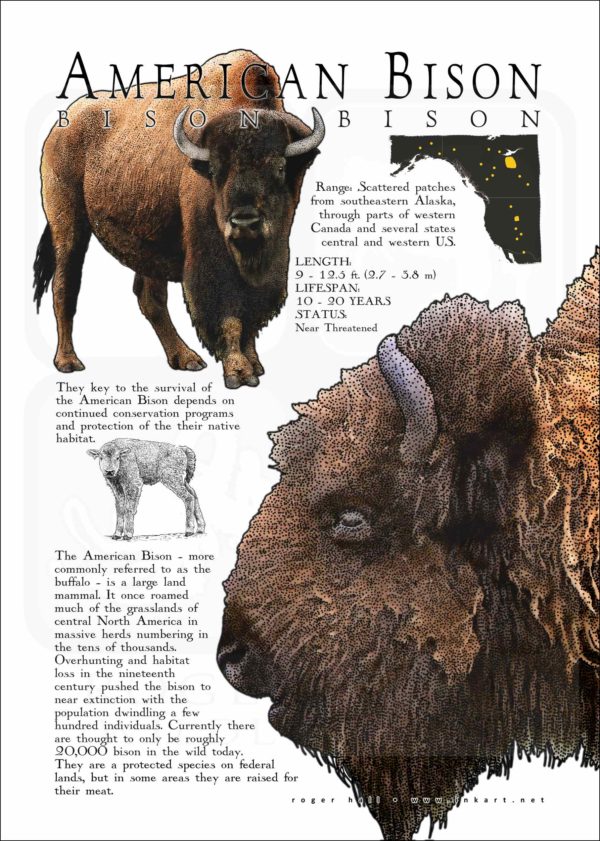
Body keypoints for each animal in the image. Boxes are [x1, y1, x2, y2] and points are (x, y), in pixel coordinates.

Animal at [33, 50, 324, 387]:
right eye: (215, 170)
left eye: (279, 167)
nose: (244, 223)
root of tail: (62, 124)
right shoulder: (210, 260)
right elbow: (227, 312)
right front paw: (238, 372)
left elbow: (250, 313)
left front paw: (255, 365)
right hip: (68, 224)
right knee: (65, 286)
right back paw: (68, 362)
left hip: (146, 241)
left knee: (149, 298)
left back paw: (185, 359)